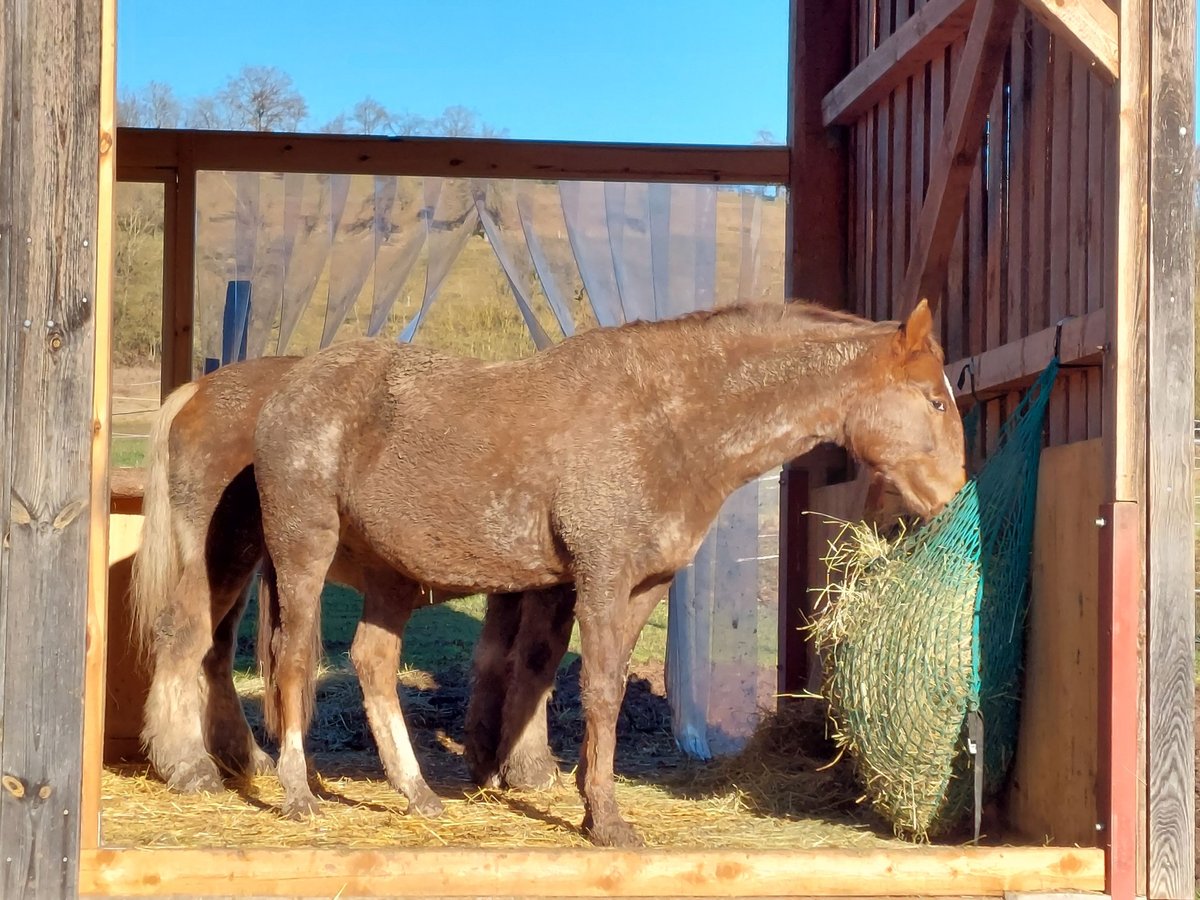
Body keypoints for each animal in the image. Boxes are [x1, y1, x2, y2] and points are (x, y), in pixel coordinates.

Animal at [130, 357, 576, 801]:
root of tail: (198, 391)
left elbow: (497, 656)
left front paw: (489, 761)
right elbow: (537, 659)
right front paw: (529, 766)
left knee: (215, 648)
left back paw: (244, 756)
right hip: (227, 552)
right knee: (182, 633)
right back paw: (188, 764)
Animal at [250, 300, 964, 849]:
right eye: (934, 401)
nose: (956, 498)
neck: (666, 424)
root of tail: (288, 389)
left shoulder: (644, 588)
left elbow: (613, 685)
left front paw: (593, 800)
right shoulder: (600, 577)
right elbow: (597, 691)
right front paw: (606, 820)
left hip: (392, 578)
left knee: (373, 662)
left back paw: (417, 792)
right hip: (304, 551)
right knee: (294, 657)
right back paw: (297, 793)